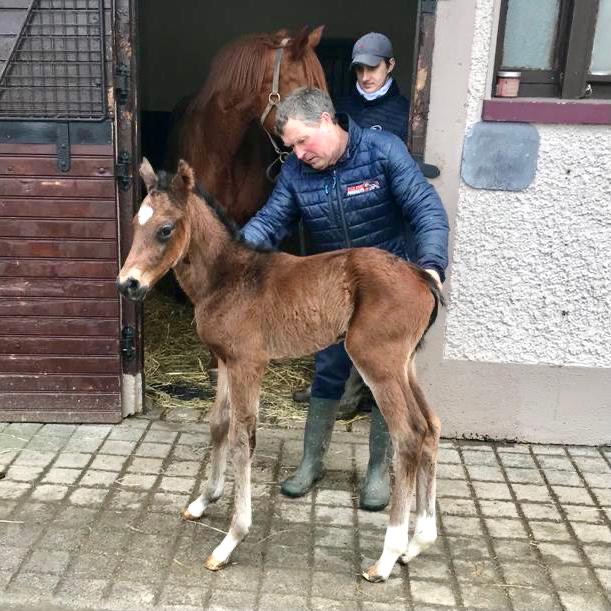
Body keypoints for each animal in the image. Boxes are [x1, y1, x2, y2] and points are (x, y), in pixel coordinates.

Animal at [118, 159, 444, 584]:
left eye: (166, 229)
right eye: (135, 224)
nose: (127, 284)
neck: (228, 278)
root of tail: (423, 276)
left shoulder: (249, 363)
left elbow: (243, 439)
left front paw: (230, 539)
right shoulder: (226, 360)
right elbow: (218, 424)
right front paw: (205, 499)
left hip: (377, 361)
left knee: (407, 435)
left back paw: (387, 557)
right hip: (406, 364)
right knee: (430, 426)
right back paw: (418, 542)